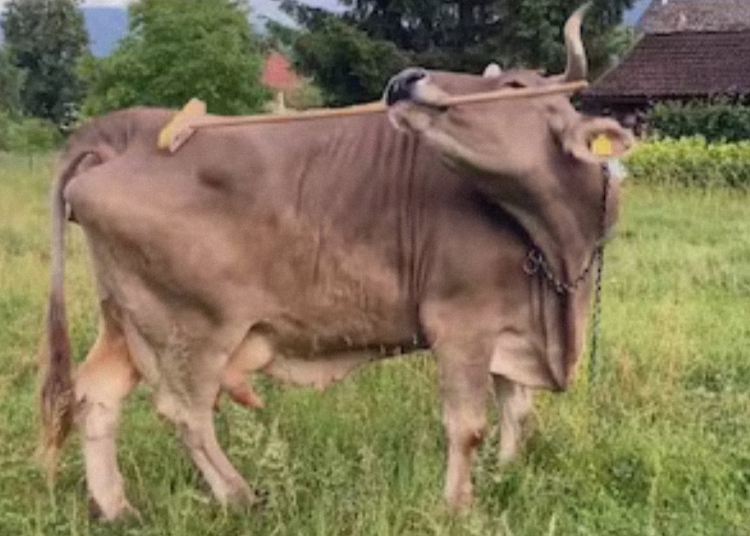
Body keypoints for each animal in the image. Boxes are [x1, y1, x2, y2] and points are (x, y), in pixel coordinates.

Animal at [38, 4, 632, 521]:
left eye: (514, 87)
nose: (406, 79)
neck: (557, 248)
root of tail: (129, 129)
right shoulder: (462, 324)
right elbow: (467, 424)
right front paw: (458, 507)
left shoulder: (515, 326)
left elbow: (518, 412)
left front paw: (506, 475)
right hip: (190, 327)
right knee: (184, 411)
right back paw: (241, 497)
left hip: (126, 317)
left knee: (95, 395)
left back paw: (117, 508)